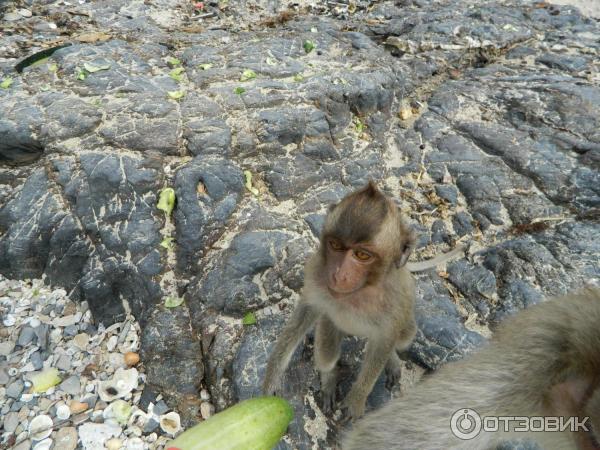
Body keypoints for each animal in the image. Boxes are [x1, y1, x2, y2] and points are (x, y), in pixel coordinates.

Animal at [262, 181, 426, 420]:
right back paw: (329, 377)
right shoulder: (316, 272)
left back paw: (392, 359)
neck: (362, 289)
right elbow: (307, 311)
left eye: (362, 255)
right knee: (327, 345)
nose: (339, 275)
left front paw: (357, 399)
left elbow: (386, 338)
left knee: (404, 336)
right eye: (336, 246)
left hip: (405, 324)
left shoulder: (396, 301)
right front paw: (273, 376)